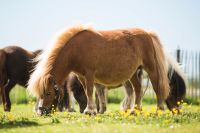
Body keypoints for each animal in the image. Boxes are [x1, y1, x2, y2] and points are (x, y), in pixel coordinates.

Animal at [27, 24, 170, 115]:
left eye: (48, 93)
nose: (40, 112)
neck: (77, 49)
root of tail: (148, 34)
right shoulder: (81, 77)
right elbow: (87, 92)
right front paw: (93, 110)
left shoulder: (89, 74)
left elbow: (90, 91)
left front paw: (89, 111)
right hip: (133, 73)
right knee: (138, 89)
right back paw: (134, 110)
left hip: (150, 67)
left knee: (157, 87)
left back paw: (159, 110)